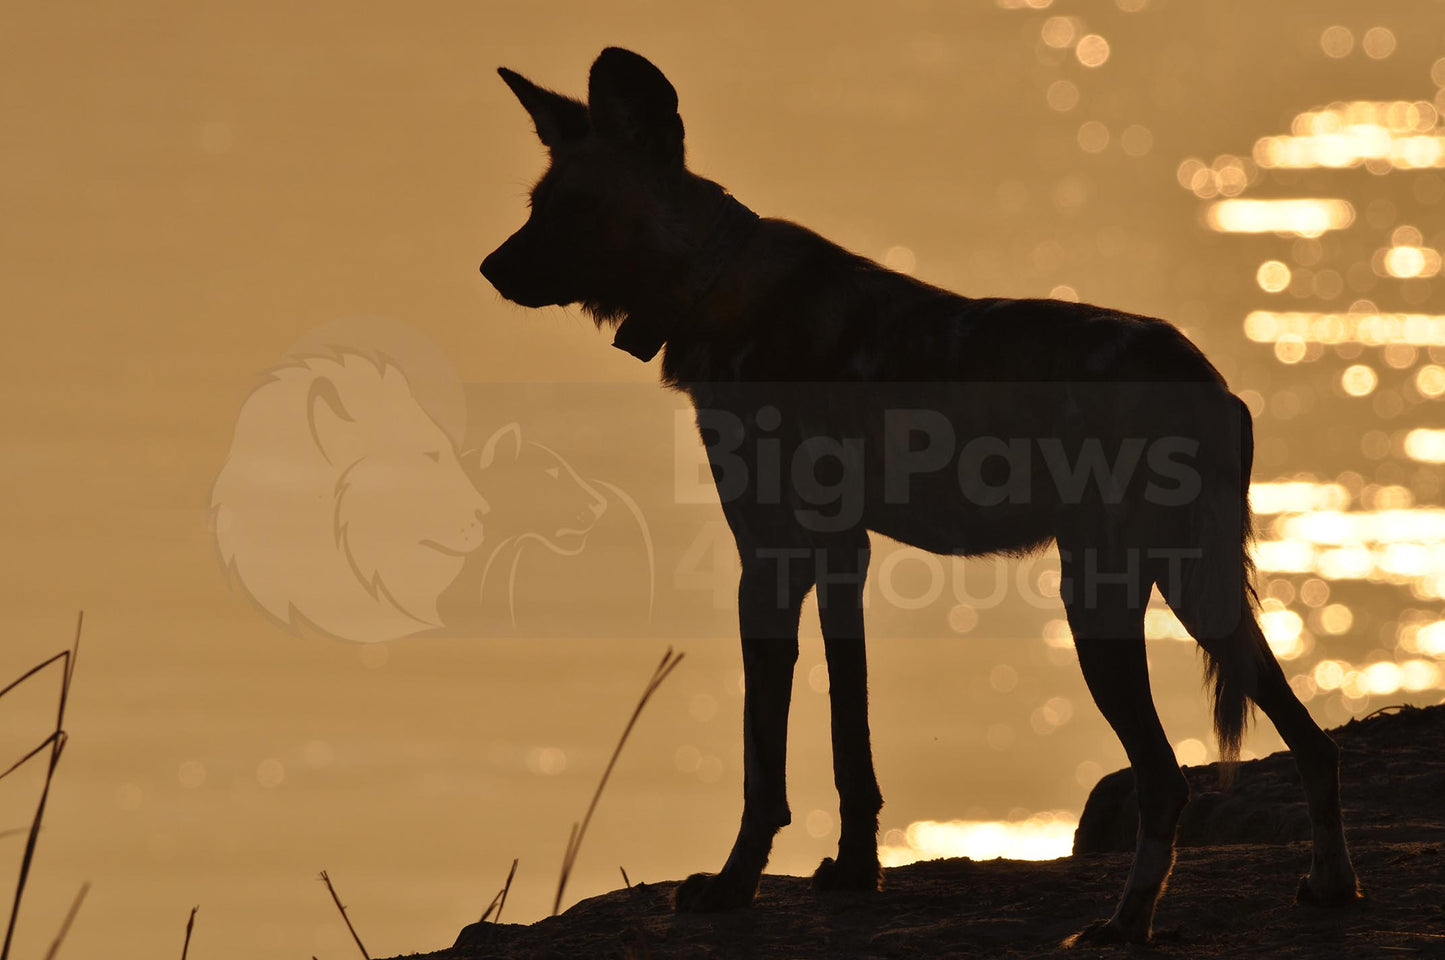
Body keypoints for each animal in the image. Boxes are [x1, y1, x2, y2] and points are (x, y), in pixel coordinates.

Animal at [479, 48, 1358, 942]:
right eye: (536, 206)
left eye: (579, 209)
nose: (491, 269)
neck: (712, 283)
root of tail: (1210, 383)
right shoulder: (840, 556)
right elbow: (849, 740)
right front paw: (854, 872)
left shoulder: (768, 561)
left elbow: (763, 763)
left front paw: (732, 885)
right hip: (1196, 593)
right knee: (1314, 743)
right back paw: (1327, 885)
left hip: (1100, 603)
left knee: (1166, 777)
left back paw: (1124, 924)